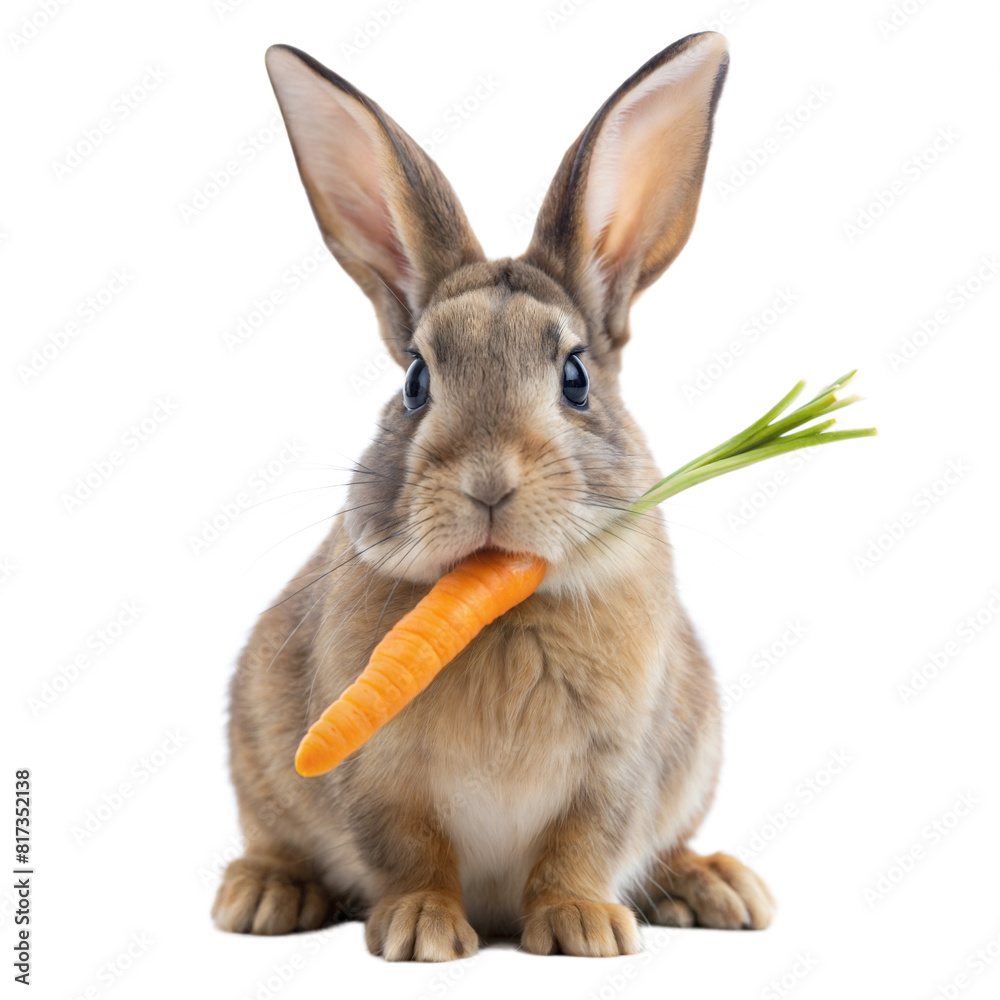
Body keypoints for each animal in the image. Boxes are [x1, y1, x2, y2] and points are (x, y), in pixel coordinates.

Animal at [212, 30, 775, 961]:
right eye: (415, 380)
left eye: (576, 376)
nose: (488, 481)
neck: (499, 606)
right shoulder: (379, 773)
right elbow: (410, 851)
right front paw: (420, 932)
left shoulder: (618, 769)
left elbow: (581, 846)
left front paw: (585, 929)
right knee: (275, 838)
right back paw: (262, 896)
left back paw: (720, 886)